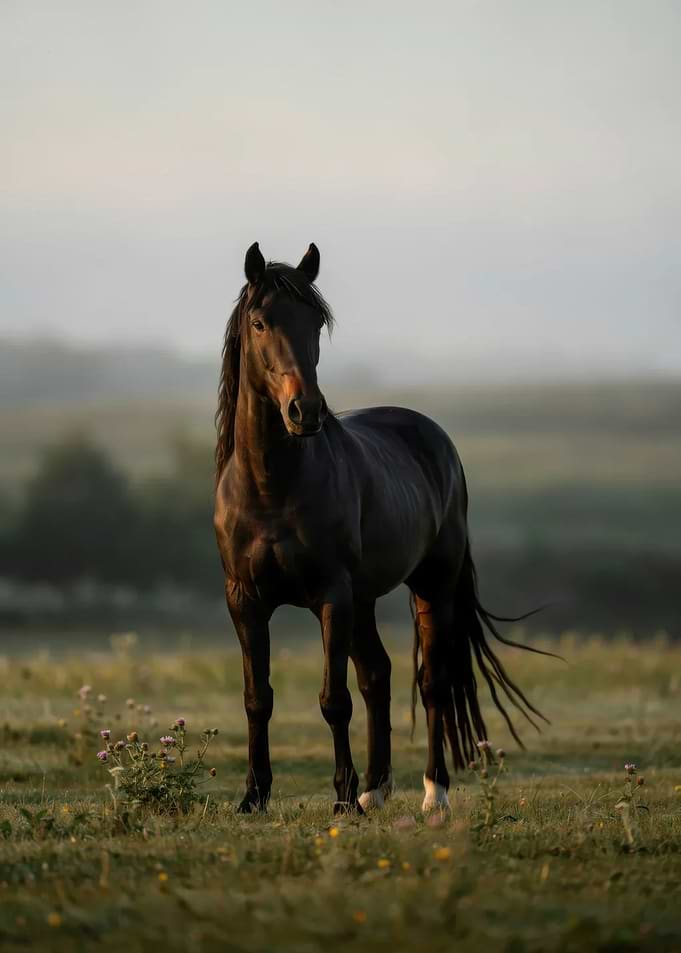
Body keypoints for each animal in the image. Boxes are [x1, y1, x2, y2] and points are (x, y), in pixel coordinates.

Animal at [214, 242, 548, 814]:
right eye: (259, 322)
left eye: (315, 323)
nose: (305, 411)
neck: (270, 487)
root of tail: (436, 438)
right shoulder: (245, 600)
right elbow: (258, 697)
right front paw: (254, 796)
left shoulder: (331, 596)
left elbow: (334, 700)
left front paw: (343, 798)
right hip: (364, 599)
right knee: (379, 674)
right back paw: (377, 788)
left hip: (429, 587)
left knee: (432, 683)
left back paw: (431, 794)